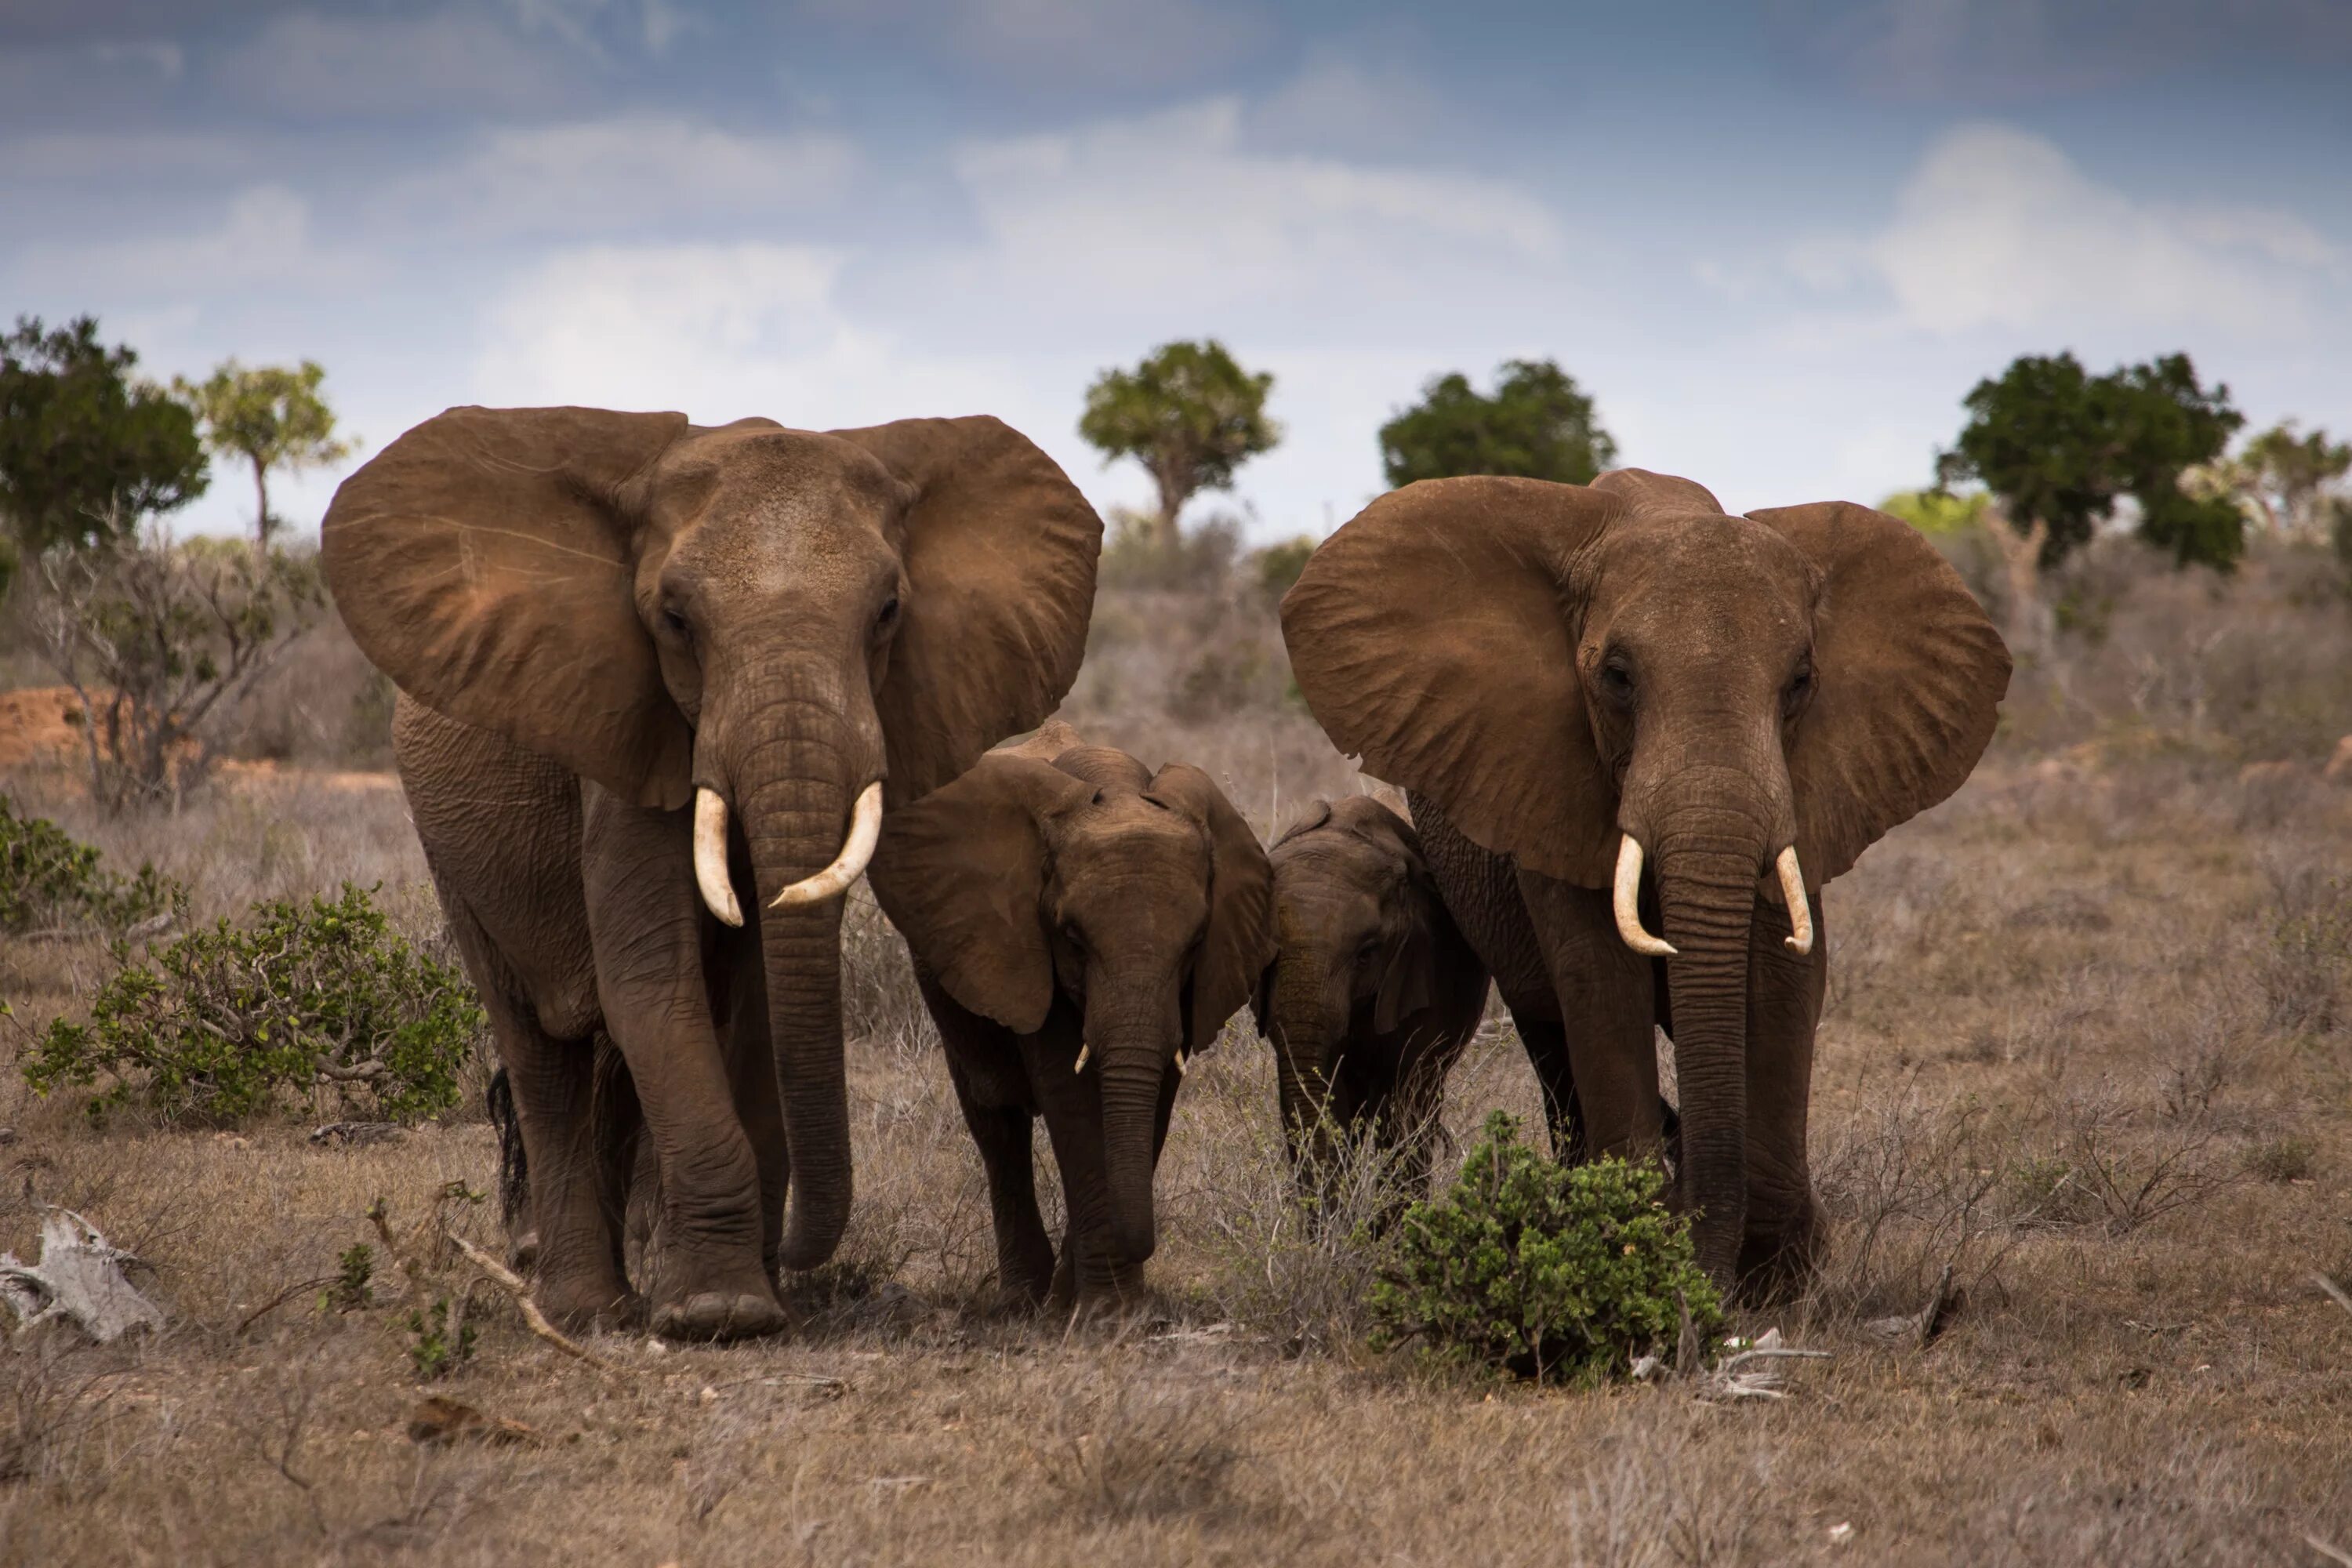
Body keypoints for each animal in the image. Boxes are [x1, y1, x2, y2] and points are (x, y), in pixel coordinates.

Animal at [322, 408, 1101, 1335]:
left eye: (887, 612)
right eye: (674, 619)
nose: (797, 1248)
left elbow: (758, 992)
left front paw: (748, 1297)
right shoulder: (625, 730)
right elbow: (651, 980)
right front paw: (719, 1314)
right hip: (449, 847)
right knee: (540, 1046)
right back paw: (586, 1309)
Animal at [870, 728, 1279, 1307]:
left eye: (1196, 942)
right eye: (1072, 938)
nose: (1147, 1245)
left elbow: (1153, 1095)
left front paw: (1091, 1302)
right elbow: (1070, 1096)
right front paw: (1106, 1311)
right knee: (995, 1120)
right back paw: (1022, 1299)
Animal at [1279, 470, 2013, 1298]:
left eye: (1801, 682)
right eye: (1617, 678)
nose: (1714, 1280)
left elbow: (1786, 980)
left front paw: (1777, 1275)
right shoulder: (1546, 784)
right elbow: (1600, 976)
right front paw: (1639, 1241)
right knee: (1550, 1036)